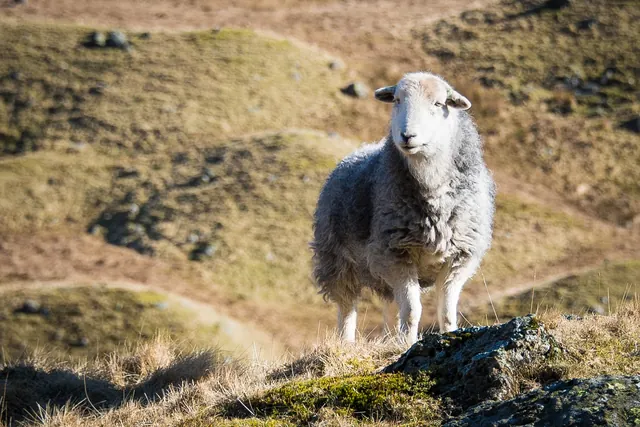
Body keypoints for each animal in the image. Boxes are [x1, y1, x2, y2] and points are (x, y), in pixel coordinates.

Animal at [312, 72, 495, 344]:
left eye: (439, 103)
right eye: (397, 100)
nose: (407, 136)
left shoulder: (459, 258)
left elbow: (446, 312)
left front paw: (447, 336)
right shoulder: (395, 253)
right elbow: (411, 311)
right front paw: (408, 344)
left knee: (390, 306)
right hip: (337, 259)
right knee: (347, 306)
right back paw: (347, 343)